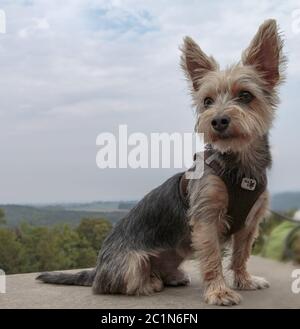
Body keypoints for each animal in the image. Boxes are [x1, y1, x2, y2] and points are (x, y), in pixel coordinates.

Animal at [37, 18, 286, 304]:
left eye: (246, 96)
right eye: (207, 101)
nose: (217, 121)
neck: (239, 167)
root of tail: (98, 269)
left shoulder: (249, 224)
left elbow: (241, 254)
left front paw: (244, 280)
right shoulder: (206, 219)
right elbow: (212, 257)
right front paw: (219, 291)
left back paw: (171, 276)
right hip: (130, 264)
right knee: (115, 284)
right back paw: (149, 282)